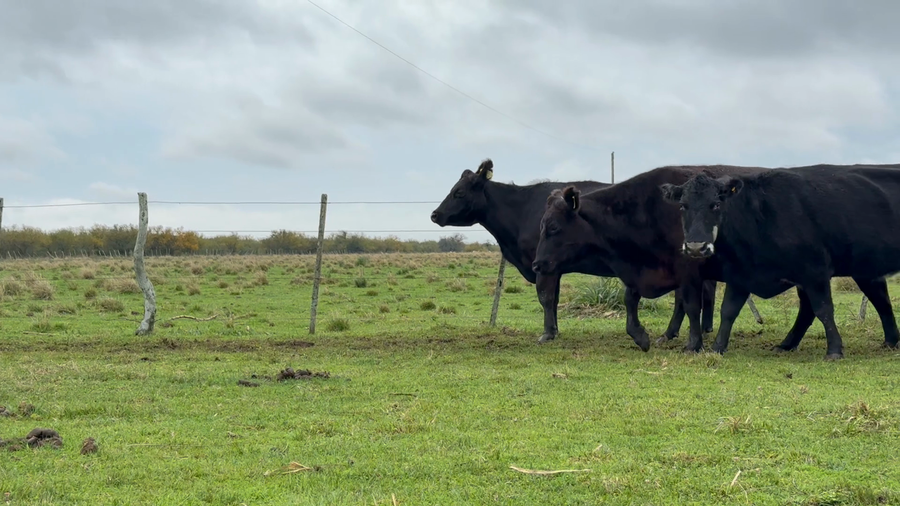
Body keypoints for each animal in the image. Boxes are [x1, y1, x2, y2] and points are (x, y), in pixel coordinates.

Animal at [430, 158, 719, 351]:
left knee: (685, 298)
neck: (522, 209)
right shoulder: (549, 266)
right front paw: (554, 330)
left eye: (459, 192)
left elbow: (545, 298)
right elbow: (553, 299)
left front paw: (547, 333)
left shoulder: (544, 265)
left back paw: (672, 334)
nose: (435, 214)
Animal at [532, 165, 769, 353]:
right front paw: (640, 336)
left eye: (553, 227)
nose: (537, 264)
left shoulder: (688, 269)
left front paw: (692, 344)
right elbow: (630, 299)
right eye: (541, 226)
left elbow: (690, 305)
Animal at [660, 164, 900, 360]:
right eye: (682, 206)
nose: (695, 247)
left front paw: (834, 350)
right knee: (881, 301)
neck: (759, 216)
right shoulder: (741, 274)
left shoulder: (815, 271)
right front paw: (717, 348)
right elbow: (728, 310)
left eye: (716, 204)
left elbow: (823, 309)